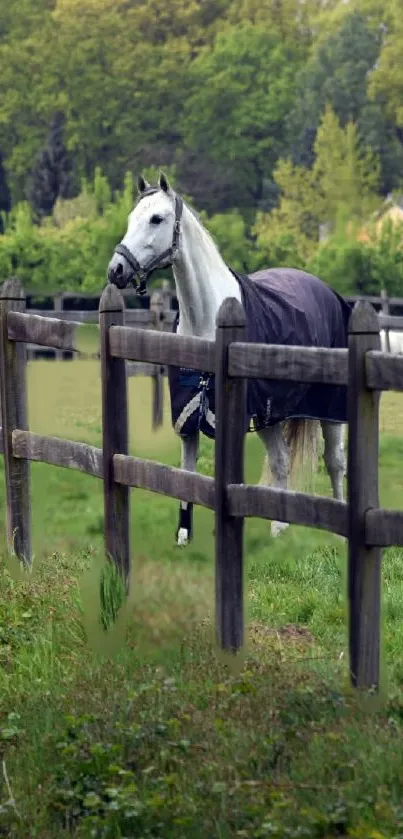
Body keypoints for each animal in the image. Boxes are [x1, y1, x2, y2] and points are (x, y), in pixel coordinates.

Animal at [107, 174, 348, 548]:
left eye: (157, 219)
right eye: (133, 218)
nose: (116, 270)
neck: (207, 319)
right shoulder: (187, 416)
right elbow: (186, 472)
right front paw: (183, 535)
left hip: (329, 407)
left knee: (334, 461)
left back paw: (338, 531)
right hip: (271, 414)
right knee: (281, 461)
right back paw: (279, 528)